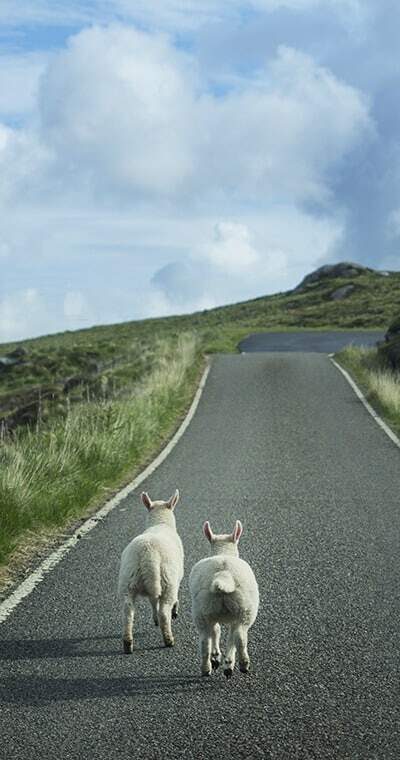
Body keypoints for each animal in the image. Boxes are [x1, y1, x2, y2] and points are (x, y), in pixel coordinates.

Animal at [116, 492, 184, 652]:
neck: (160, 523)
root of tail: (148, 552)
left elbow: (153, 601)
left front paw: (154, 619)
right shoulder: (176, 579)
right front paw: (174, 611)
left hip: (128, 580)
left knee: (127, 611)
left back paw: (127, 643)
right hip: (167, 580)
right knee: (164, 611)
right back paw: (168, 639)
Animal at [190, 524, 260, 676]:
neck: (223, 551)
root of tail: (223, 575)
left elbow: (218, 632)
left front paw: (218, 659)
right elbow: (229, 636)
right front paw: (226, 661)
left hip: (203, 609)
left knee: (206, 640)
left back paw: (209, 667)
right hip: (245, 610)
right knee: (239, 636)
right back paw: (242, 664)